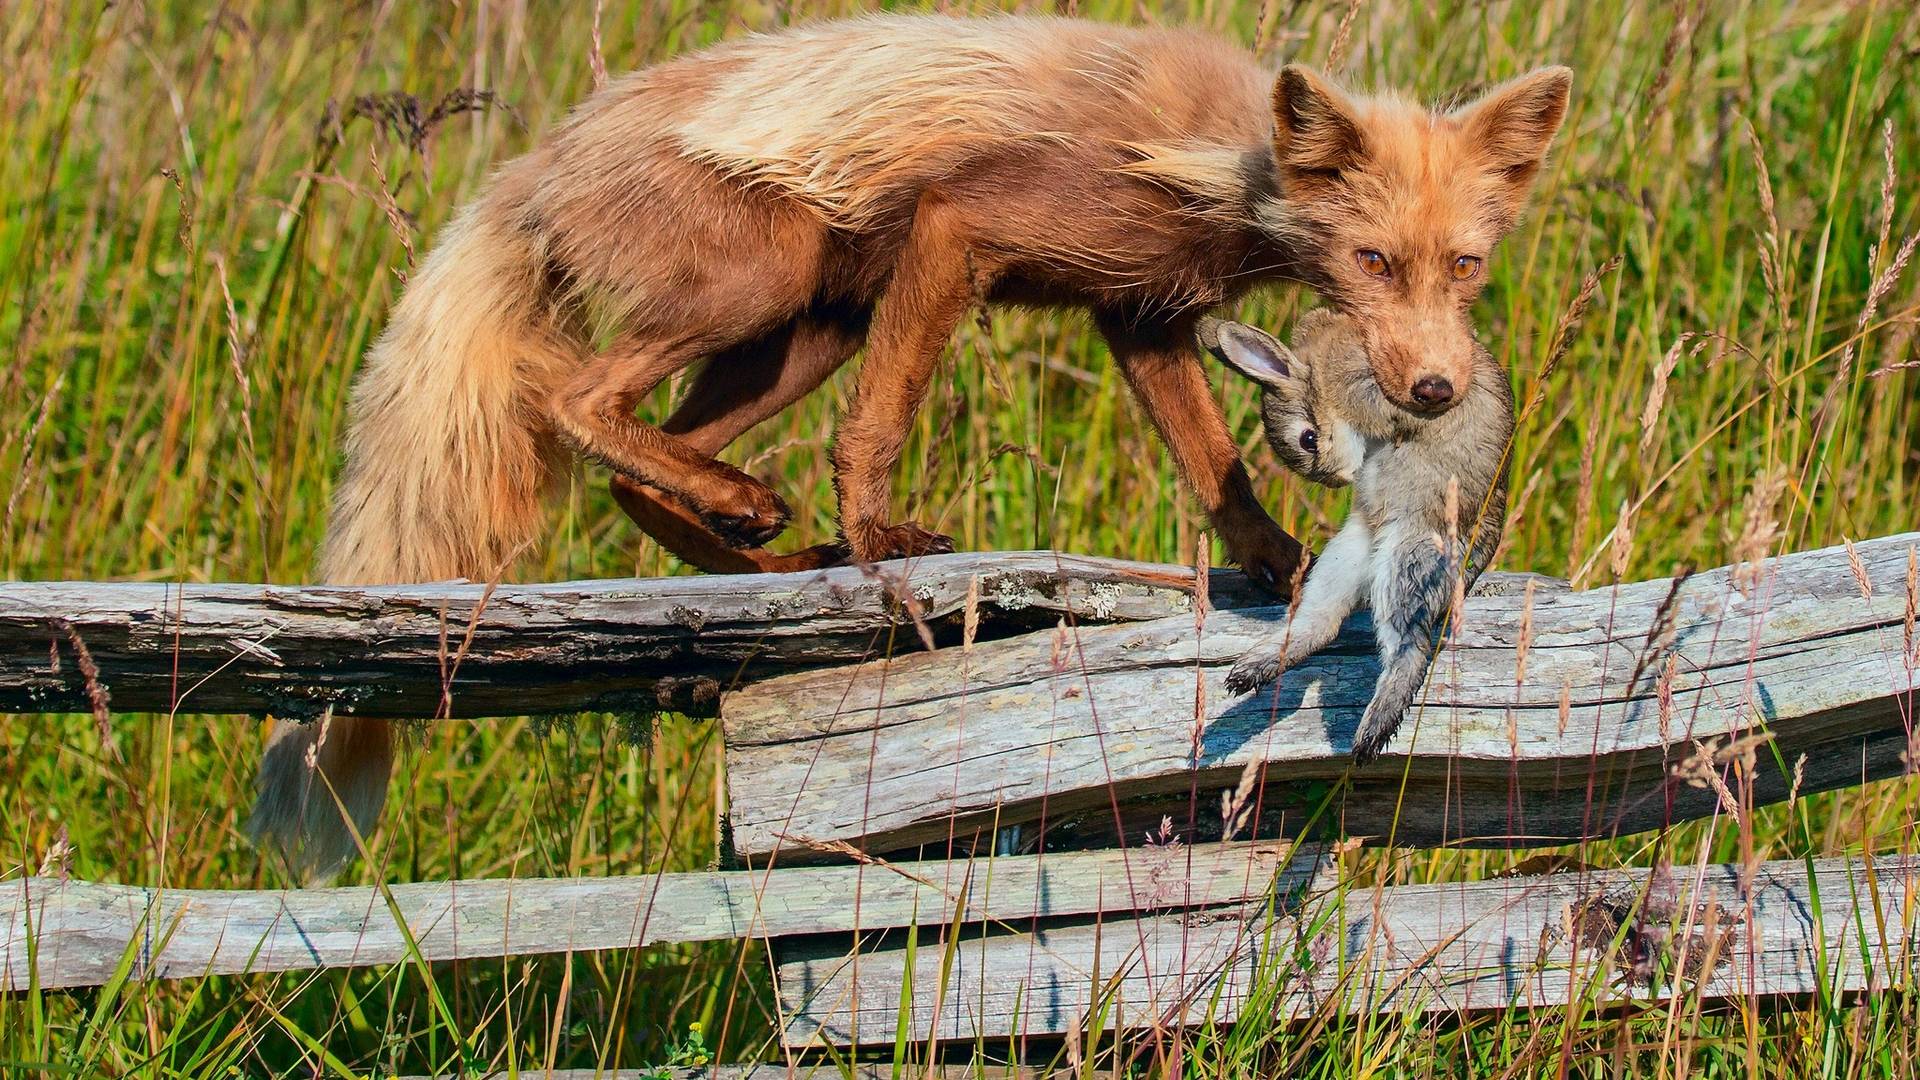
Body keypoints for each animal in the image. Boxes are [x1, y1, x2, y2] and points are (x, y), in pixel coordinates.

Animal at [1205, 307, 1505, 764]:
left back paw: (1370, 734)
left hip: (1408, 557)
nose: (1339, 478)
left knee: (1409, 649)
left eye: (1309, 439)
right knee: (1321, 624)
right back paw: (1250, 672)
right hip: (1347, 555)